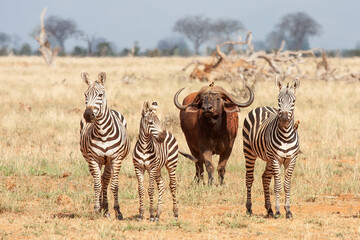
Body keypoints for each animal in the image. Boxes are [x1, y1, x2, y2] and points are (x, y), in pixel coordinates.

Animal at [79, 71, 130, 219]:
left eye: (100, 95)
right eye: (85, 94)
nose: (88, 115)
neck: (103, 133)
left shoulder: (116, 159)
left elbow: (114, 185)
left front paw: (117, 211)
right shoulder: (93, 159)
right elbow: (96, 185)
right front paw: (96, 209)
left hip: (108, 162)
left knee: (105, 180)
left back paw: (106, 208)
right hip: (95, 161)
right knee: (100, 180)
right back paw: (102, 207)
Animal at [242, 77, 300, 219]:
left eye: (293, 101)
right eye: (279, 100)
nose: (284, 120)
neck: (286, 136)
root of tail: (261, 107)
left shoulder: (291, 159)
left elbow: (287, 185)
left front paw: (288, 211)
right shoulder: (276, 159)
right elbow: (277, 185)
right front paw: (278, 211)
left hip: (268, 158)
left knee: (265, 178)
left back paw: (269, 209)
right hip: (249, 152)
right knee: (249, 178)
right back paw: (249, 208)